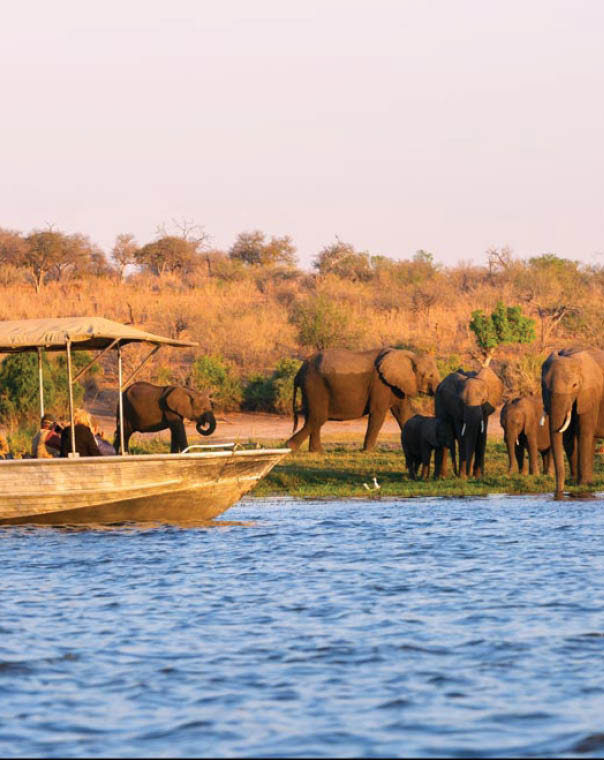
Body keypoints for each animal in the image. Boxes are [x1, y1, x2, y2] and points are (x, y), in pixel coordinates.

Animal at [285, 347, 441, 452]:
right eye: (430, 376)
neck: (408, 355)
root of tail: (299, 372)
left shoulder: (396, 385)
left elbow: (404, 413)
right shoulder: (381, 384)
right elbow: (378, 414)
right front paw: (368, 451)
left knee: (314, 418)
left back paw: (316, 451)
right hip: (315, 386)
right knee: (318, 418)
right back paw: (290, 448)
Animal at [541, 347, 604, 496]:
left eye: (575, 385)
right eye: (543, 385)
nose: (559, 491)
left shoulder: (589, 394)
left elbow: (584, 433)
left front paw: (584, 484)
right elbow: (568, 438)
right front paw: (575, 483)